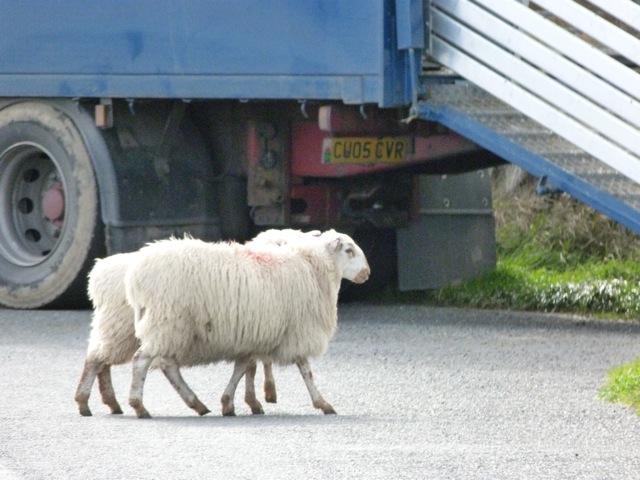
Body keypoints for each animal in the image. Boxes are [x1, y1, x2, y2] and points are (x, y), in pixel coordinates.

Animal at [74, 229, 319, 417]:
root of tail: (99, 272)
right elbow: (254, 366)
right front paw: (255, 400)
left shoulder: (256, 331)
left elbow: (249, 365)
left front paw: (255, 399)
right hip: (154, 325)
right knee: (108, 359)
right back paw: (99, 402)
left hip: (132, 329)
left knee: (106, 359)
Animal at [125, 229, 370, 418]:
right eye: (349, 250)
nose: (367, 273)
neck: (312, 266)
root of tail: (135, 278)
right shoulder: (297, 330)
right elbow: (305, 370)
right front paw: (323, 403)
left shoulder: (252, 334)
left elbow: (242, 368)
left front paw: (232, 403)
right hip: (167, 322)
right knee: (142, 361)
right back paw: (139, 406)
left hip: (171, 327)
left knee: (168, 365)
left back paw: (196, 403)